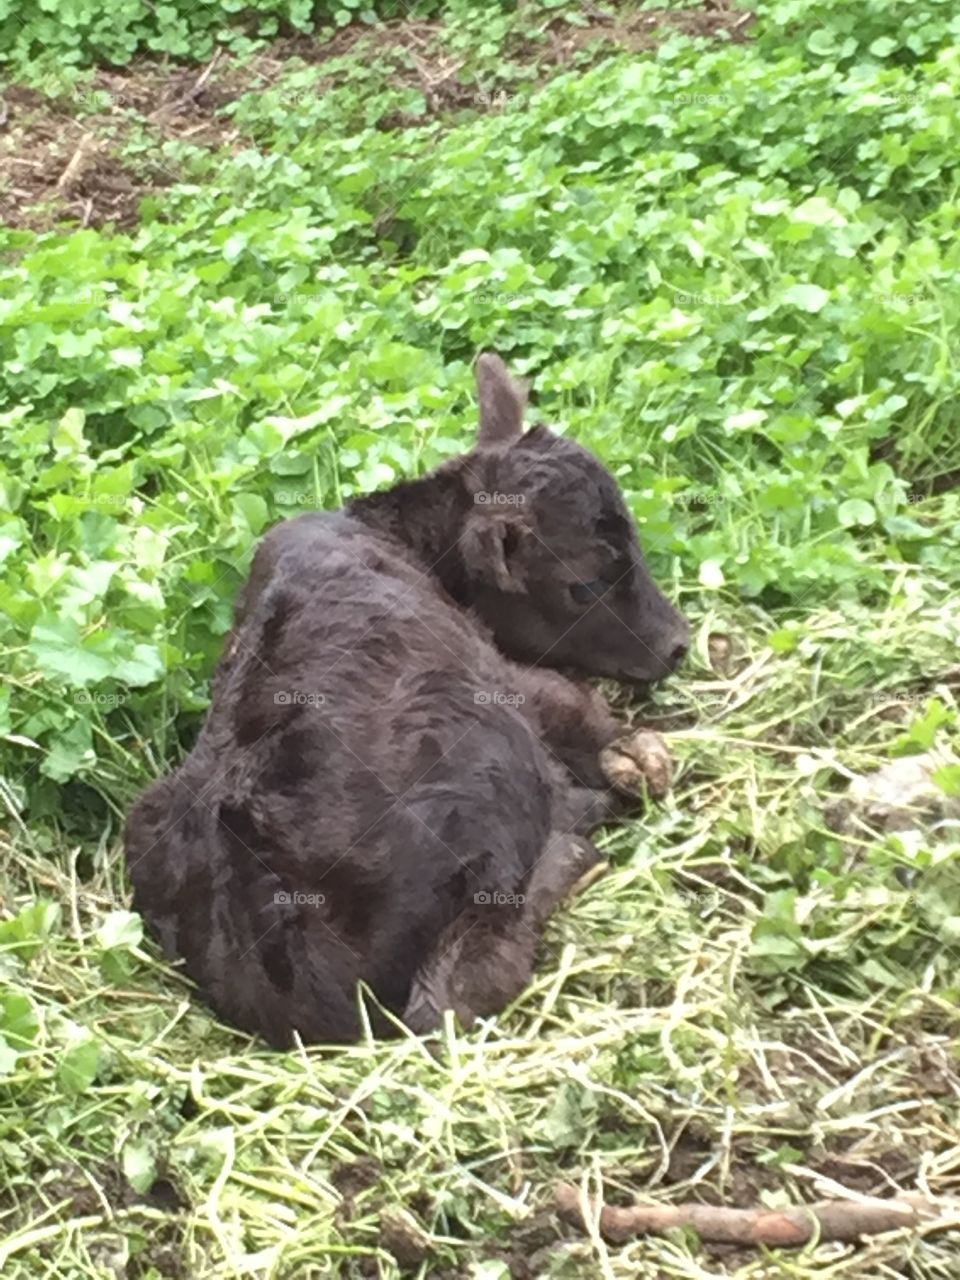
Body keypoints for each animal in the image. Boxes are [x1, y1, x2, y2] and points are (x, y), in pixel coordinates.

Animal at [126, 355, 691, 1044]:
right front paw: (636, 756)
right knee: (458, 988)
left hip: (146, 818)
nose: (677, 644)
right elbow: (571, 703)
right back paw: (577, 853)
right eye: (583, 584)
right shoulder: (505, 675)